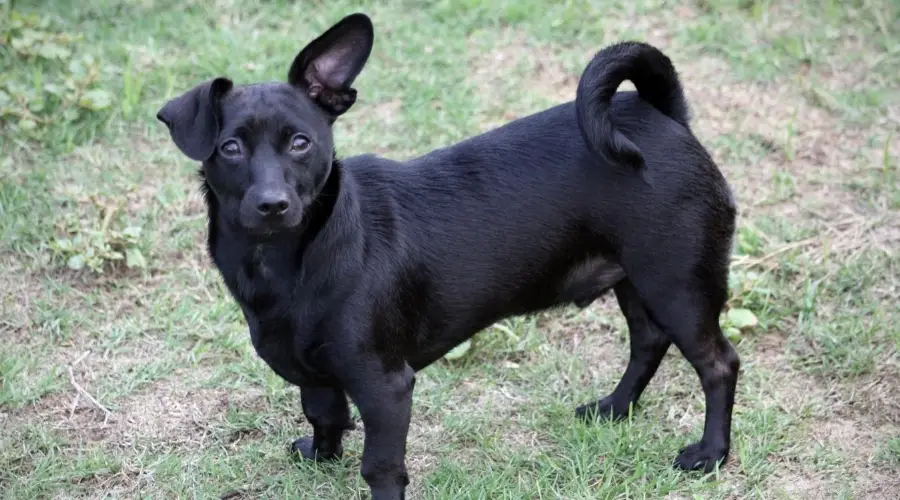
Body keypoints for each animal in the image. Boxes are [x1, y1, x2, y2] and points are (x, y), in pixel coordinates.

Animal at [158, 11, 740, 500]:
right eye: (230, 148)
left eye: (301, 143)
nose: (272, 203)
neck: (287, 260)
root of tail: (665, 116)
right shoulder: (316, 375)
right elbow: (323, 415)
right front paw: (321, 457)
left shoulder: (385, 388)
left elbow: (380, 467)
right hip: (637, 281)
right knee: (648, 341)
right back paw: (615, 408)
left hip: (678, 284)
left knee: (718, 364)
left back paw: (710, 454)